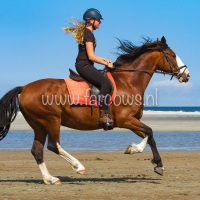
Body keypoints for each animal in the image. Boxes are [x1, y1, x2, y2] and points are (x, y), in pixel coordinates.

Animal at [0, 36, 190, 184]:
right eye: (173, 55)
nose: (186, 75)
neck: (128, 81)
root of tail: (25, 88)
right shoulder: (125, 120)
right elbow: (150, 132)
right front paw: (138, 151)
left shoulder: (131, 121)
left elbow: (149, 136)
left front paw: (155, 163)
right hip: (51, 120)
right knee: (53, 145)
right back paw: (78, 167)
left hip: (39, 125)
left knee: (37, 150)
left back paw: (50, 179)